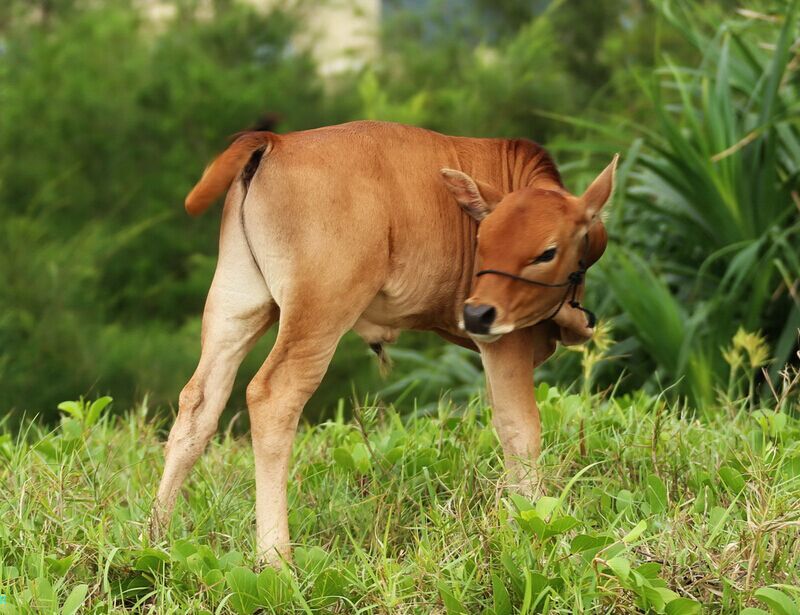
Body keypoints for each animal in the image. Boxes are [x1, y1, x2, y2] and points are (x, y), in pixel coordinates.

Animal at [150, 119, 616, 564]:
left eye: (546, 251)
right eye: (482, 241)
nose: (474, 313)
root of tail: (276, 142)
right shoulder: (507, 337)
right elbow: (520, 429)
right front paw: (538, 526)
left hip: (236, 304)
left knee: (199, 403)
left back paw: (155, 538)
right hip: (320, 311)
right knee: (273, 396)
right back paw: (275, 558)